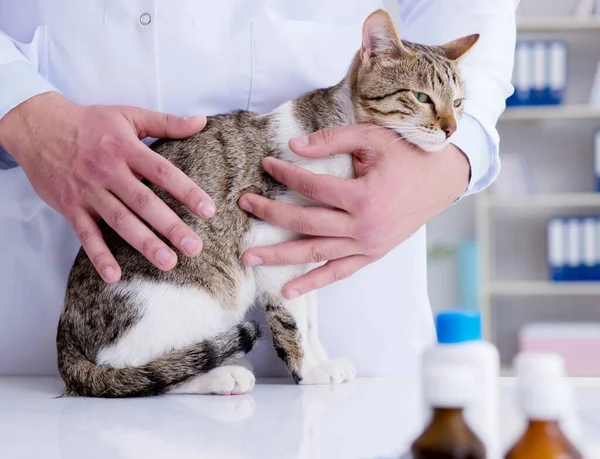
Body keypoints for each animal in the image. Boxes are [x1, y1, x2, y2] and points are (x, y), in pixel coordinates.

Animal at [56, 7, 478, 398]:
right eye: (421, 97)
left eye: (458, 102)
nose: (451, 129)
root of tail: (66, 332)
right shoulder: (269, 246)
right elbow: (292, 322)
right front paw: (309, 372)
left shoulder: (307, 256)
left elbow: (309, 317)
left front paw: (323, 361)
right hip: (194, 294)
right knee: (134, 370)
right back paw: (219, 375)